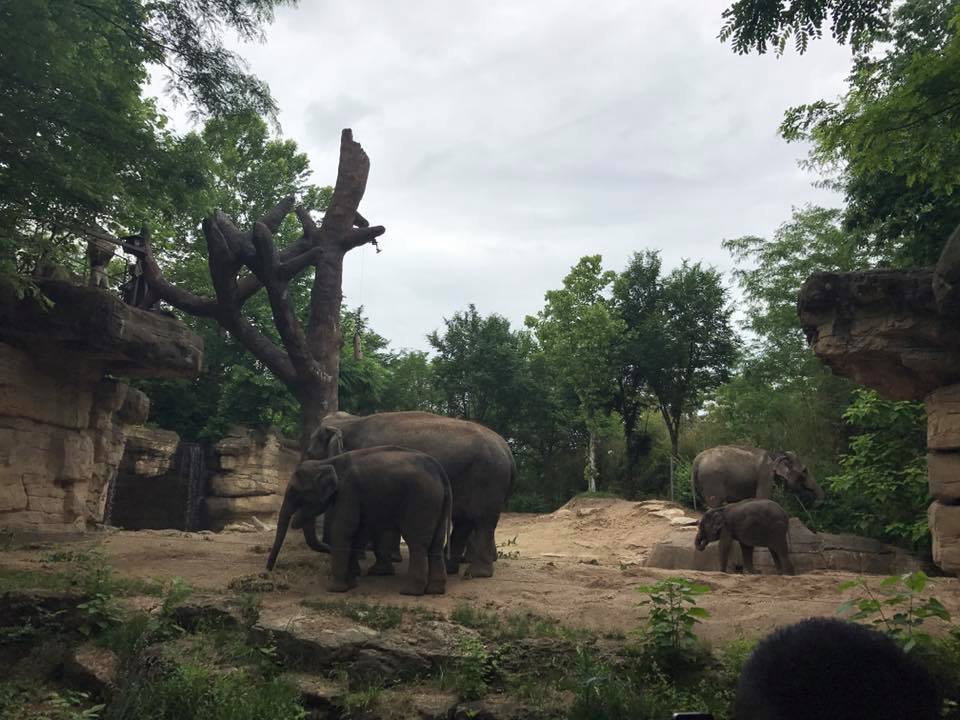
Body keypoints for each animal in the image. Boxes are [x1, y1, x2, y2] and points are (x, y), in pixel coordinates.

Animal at [266, 446, 452, 595]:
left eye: (294, 491)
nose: (267, 571)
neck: (327, 462)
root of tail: (440, 472)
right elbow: (358, 532)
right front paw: (351, 585)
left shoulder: (348, 491)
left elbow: (342, 530)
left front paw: (335, 589)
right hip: (436, 503)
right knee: (436, 542)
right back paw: (435, 590)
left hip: (422, 501)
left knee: (417, 542)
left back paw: (410, 592)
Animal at [303, 411, 515, 578]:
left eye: (310, 454)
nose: (326, 548)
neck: (352, 421)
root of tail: (507, 449)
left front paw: (377, 570)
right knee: (465, 521)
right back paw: (451, 568)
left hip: (489, 480)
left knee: (482, 521)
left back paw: (477, 573)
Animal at [691, 445, 824, 510]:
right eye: (805, 471)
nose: (814, 504)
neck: (775, 454)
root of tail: (697, 460)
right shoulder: (765, 474)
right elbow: (763, 497)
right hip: (712, 479)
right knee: (715, 503)